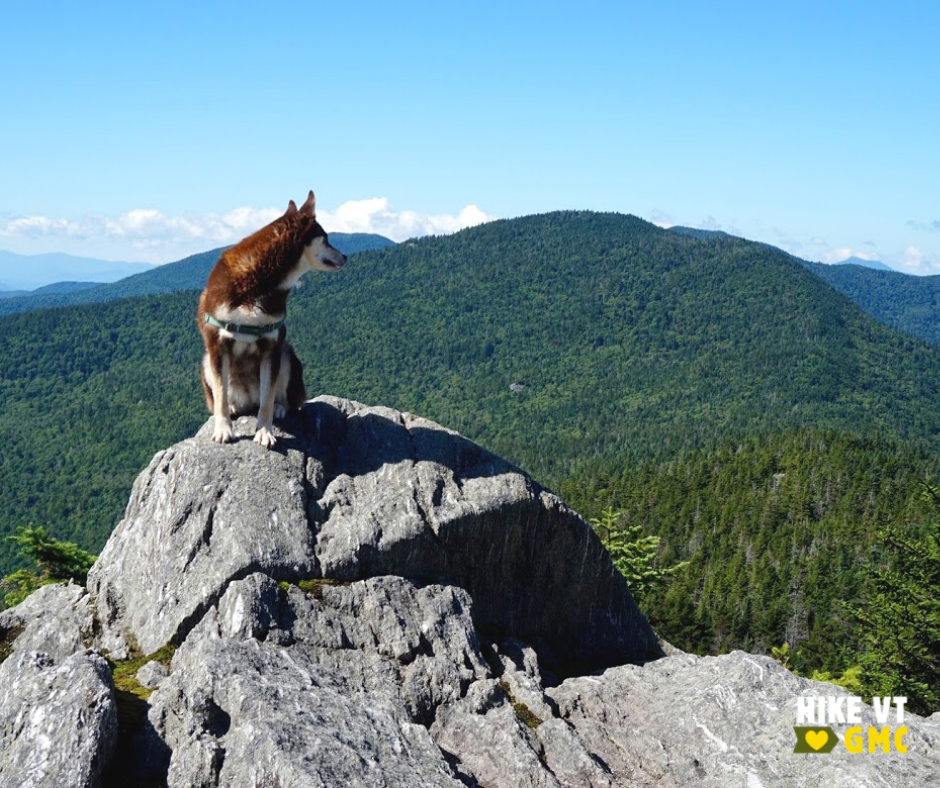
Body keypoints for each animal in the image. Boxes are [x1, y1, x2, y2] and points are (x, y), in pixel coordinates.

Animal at [199, 189, 348, 450]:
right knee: (225, 395)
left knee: (281, 399)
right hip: (206, 361)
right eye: (326, 238)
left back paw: (279, 407)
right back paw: (234, 407)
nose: (346, 256)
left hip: (287, 355)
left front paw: (264, 431)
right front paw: (223, 429)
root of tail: (248, 399)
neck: (259, 281)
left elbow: (267, 398)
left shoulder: (272, 344)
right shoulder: (217, 343)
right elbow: (220, 394)